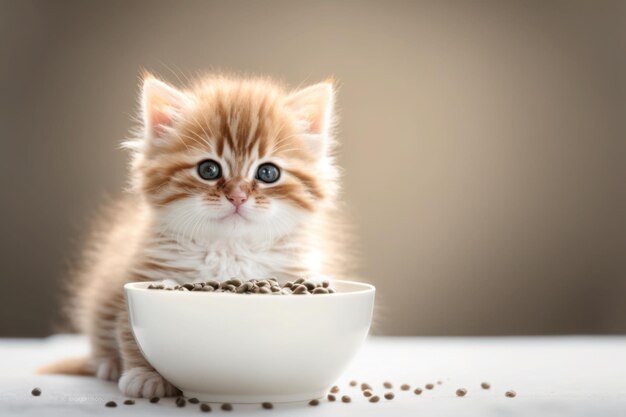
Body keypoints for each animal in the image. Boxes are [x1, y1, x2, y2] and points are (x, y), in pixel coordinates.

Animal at [40, 74, 346, 396]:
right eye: (208, 169)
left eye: (268, 173)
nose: (237, 196)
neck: (230, 249)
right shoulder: (146, 272)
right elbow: (130, 328)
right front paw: (146, 375)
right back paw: (107, 365)